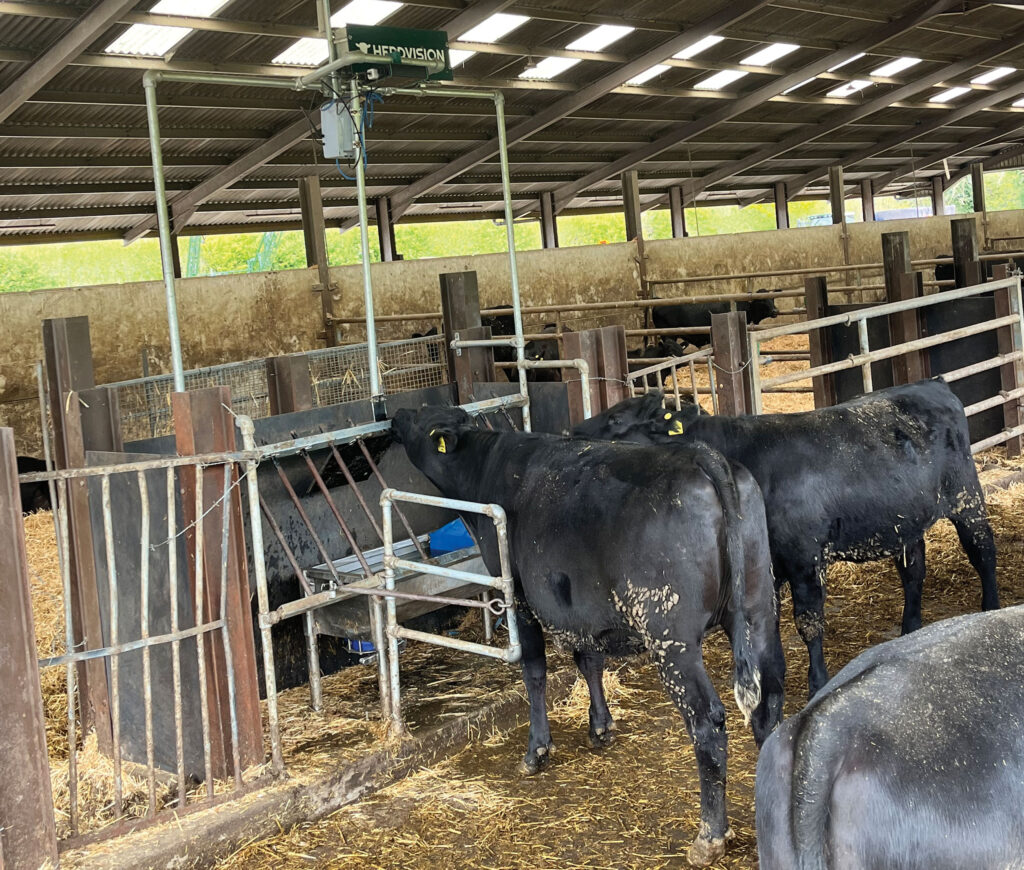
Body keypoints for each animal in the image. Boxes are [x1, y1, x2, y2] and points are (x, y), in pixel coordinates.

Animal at [391, 405, 782, 859]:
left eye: (421, 417)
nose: (394, 414)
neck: (487, 465)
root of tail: (704, 457)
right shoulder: (579, 607)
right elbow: (589, 661)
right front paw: (601, 727)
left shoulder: (520, 598)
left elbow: (535, 672)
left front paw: (537, 750)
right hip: (758, 612)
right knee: (769, 703)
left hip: (672, 637)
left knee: (708, 720)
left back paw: (710, 835)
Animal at [577, 382, 999, 696]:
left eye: (616, 417)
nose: (573, 435)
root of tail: (933, 385)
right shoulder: (769, 565)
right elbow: (767, 623)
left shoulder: (804, 557)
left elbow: (808, 622)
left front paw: (817, 682)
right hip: (905, 521)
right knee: (914, 571)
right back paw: (910, 626)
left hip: (966, 495)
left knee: (983, 550)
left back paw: (991, 606)